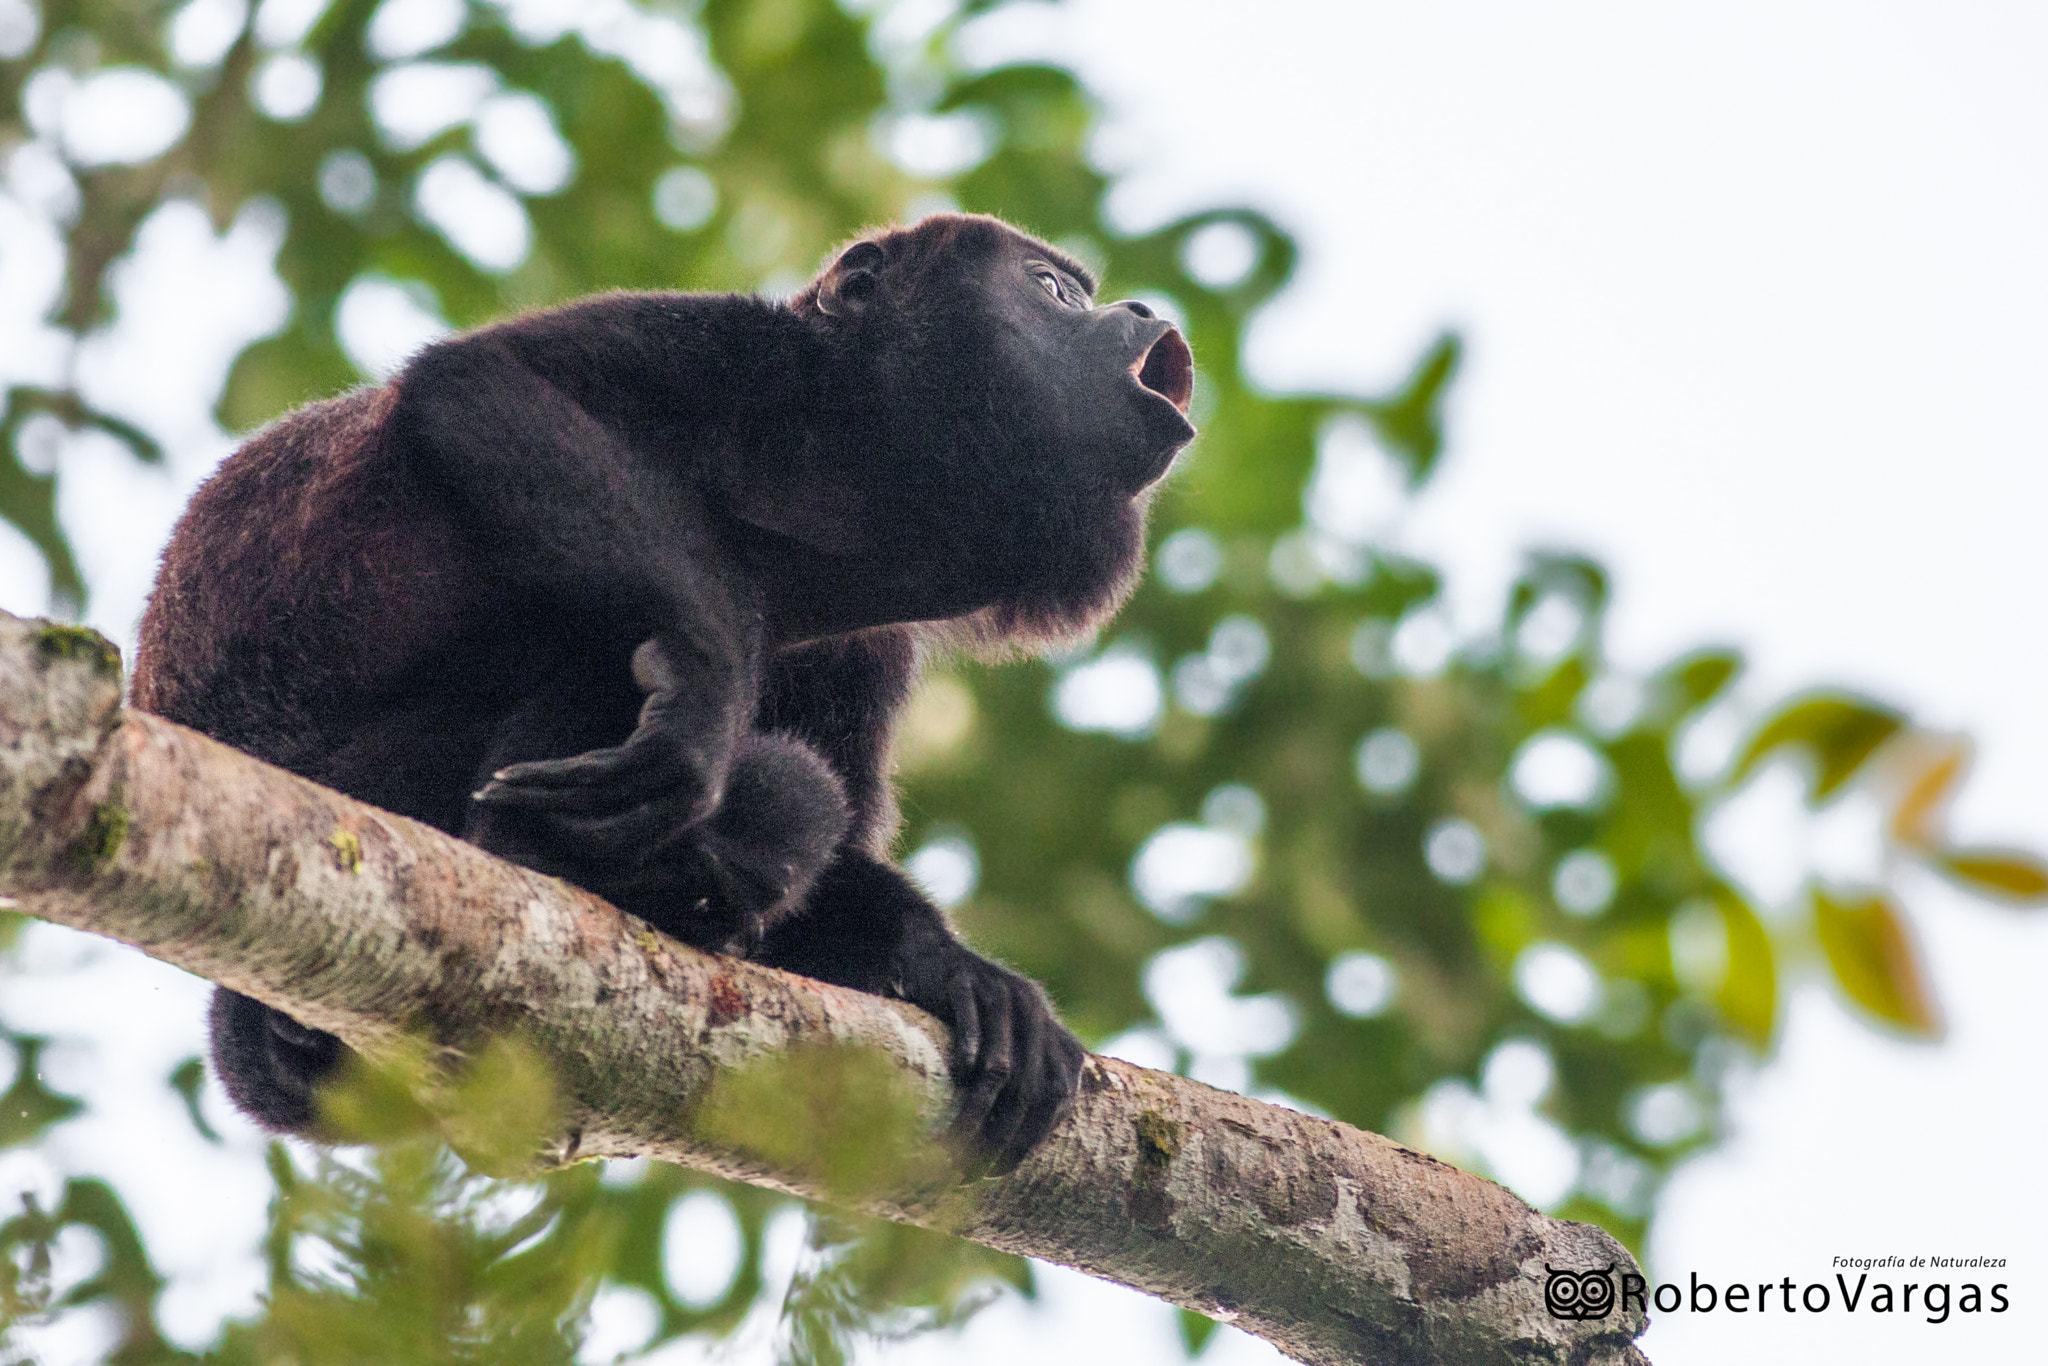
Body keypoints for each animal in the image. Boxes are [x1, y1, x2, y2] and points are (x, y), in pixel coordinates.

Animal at [132, 210, 1196, 1163]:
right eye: (1052, 289)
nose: (1140, 310)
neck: (840, 510)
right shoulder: (739, 358)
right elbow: (481, 385)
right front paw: (702, 697)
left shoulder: (871, 646)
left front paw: (951, 967)